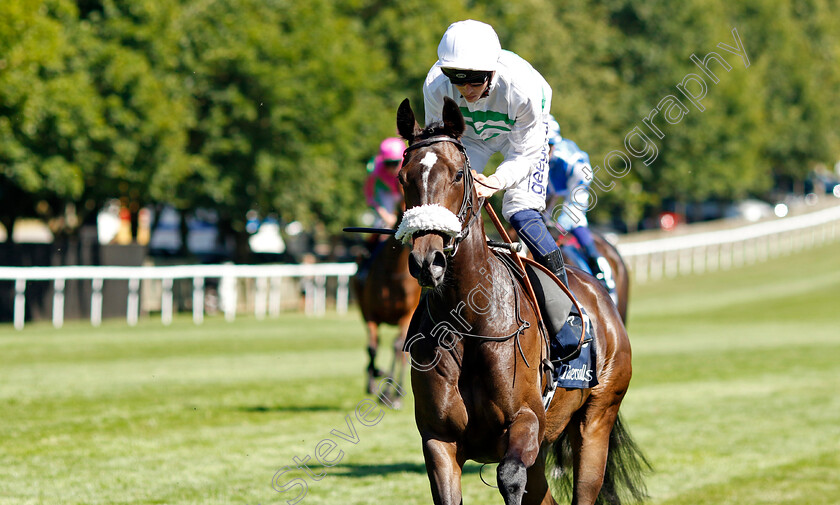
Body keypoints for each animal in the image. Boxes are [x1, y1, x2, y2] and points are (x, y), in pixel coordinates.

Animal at [352, 232, 424, 398]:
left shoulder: (407, 314)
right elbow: (372, 348)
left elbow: (398, 346)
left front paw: (390, 391)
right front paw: (372, 381)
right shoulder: (370, 314)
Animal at [396, 95, 648, 504]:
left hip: (596, 419)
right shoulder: (438, 439)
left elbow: (510, 475)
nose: (426, 260)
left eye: (458, 175)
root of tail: (599, 297)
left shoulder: (526, 421)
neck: (469, 325)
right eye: (403, 178)